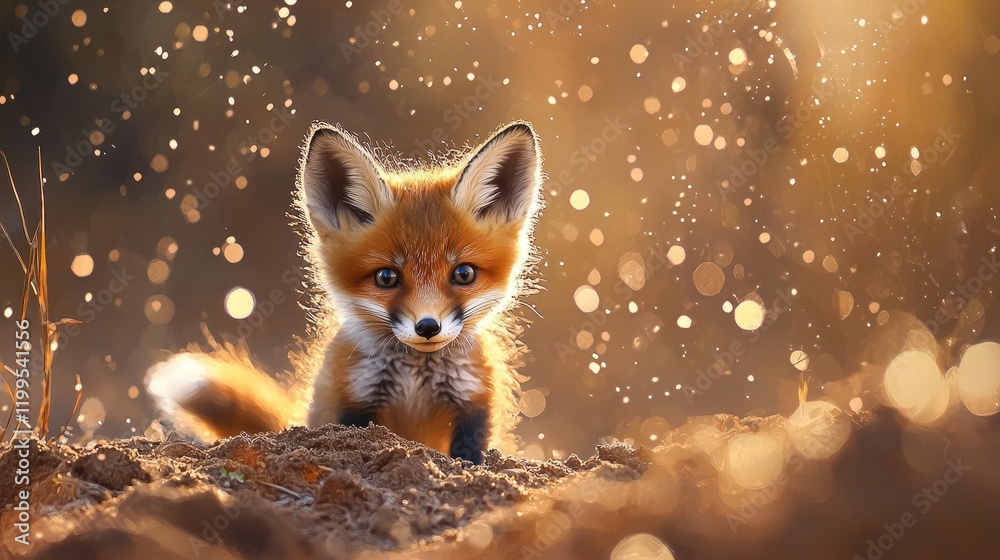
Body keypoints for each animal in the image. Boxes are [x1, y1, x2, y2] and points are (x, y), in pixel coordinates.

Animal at [146, 121, 543, 464]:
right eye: (386, 277)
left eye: (463, 273)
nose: (428, 327)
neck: (415, 378)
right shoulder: (351, 405)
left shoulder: (472, 406)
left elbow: (469, 457)